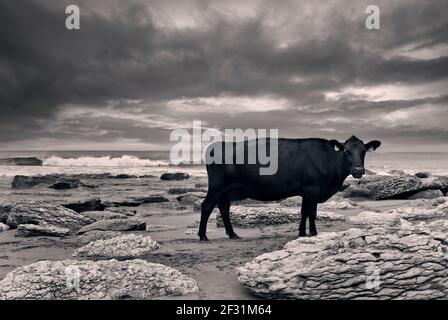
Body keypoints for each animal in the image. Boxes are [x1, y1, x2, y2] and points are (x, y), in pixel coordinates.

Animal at [198, 134, 380, 240]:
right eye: (346, 152)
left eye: (364, 152)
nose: (358, 170)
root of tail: (219, 145)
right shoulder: (312, 187)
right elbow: (312, 212)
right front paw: (313, 233)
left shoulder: (305, 190)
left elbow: (304, 211)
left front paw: (301, 233)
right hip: (217, 187)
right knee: (206, 206)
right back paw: (203, 235)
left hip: (228, 190)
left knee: (224, 207)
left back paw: (232, 234)